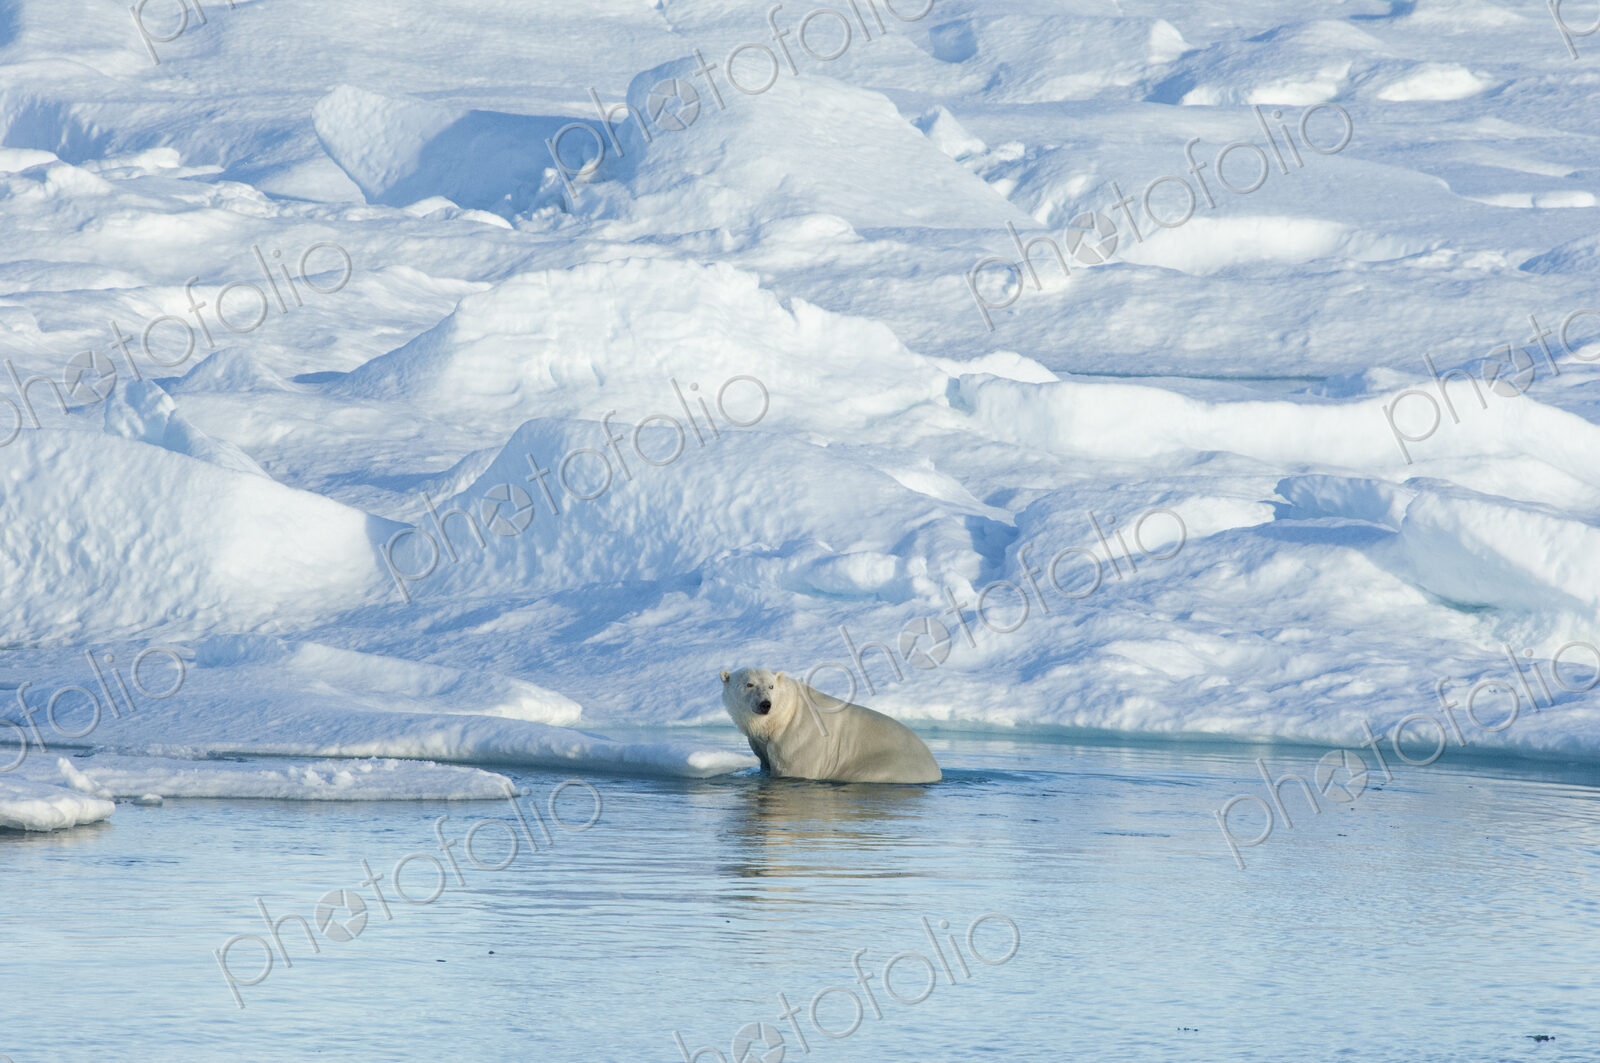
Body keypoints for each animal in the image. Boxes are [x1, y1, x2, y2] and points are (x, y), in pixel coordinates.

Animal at [719, 667, 941, 784]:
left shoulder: (800, 740)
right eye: (749, 684)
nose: (765, 704)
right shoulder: (761, 744)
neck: (783, 717)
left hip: (886, 766)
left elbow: (794, 770)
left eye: (771, 686)